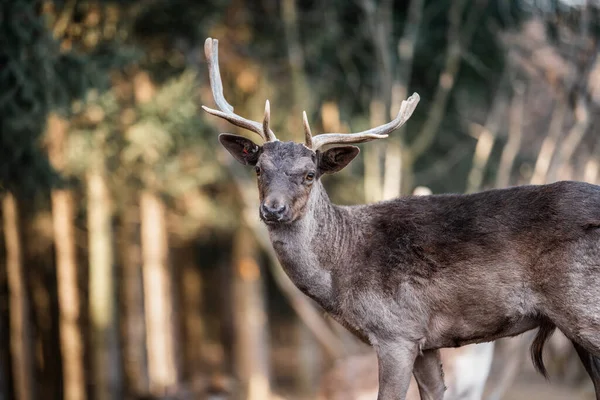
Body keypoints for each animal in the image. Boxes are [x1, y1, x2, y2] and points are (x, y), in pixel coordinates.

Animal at [202, 36, 600, 398]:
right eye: (258, 168)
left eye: (310, 174)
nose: (273, 208)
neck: (342, 272)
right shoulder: (425, 339)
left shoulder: (395, 331)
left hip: (584, 308)